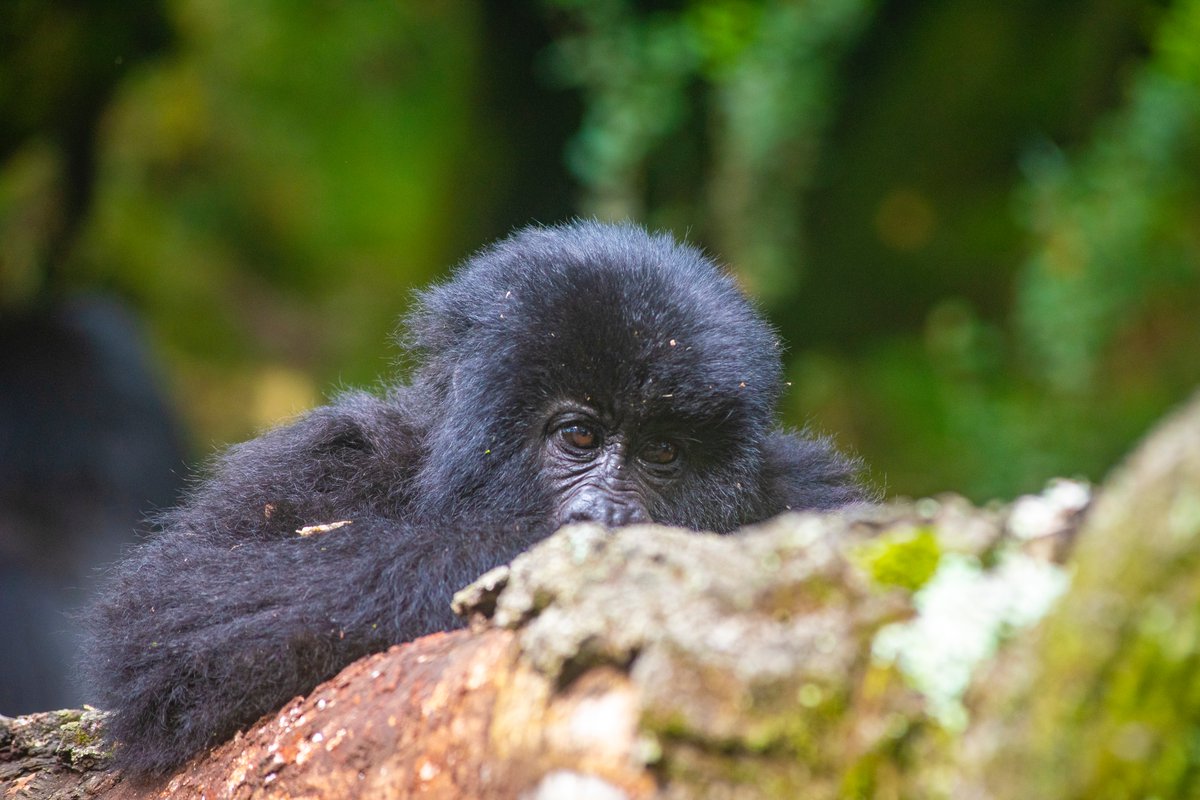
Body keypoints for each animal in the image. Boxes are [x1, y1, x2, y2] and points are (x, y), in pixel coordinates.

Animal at [83, 221, 866, 774]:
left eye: (663, 454)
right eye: (579, 436)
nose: (611, 512)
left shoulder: (807, 491)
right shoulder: (331, 454)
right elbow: (170, 610)